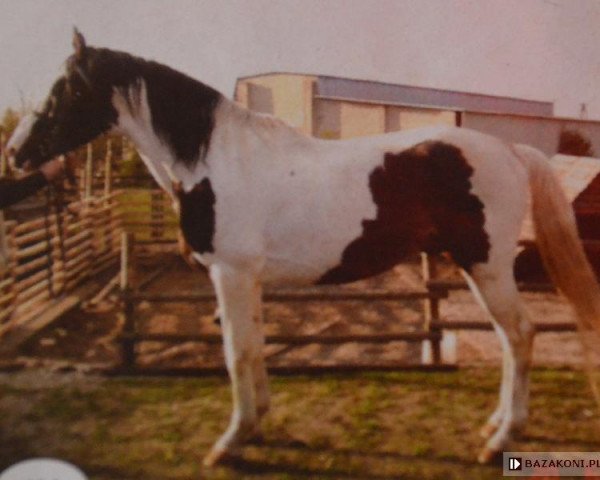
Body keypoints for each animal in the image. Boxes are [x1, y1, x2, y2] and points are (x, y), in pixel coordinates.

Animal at [8, 29, 600, 464]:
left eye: (64, 90)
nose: (15, 152)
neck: (214, 160)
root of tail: (510, 148)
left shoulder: (230, 274)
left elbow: (235, 351)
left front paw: (230, 442)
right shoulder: (247, 279)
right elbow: (254, 346)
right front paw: (257, 423)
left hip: (488, 266)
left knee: (520, 335)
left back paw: (502, 439)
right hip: (476, 267)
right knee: (509, 339)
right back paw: (496, 424)